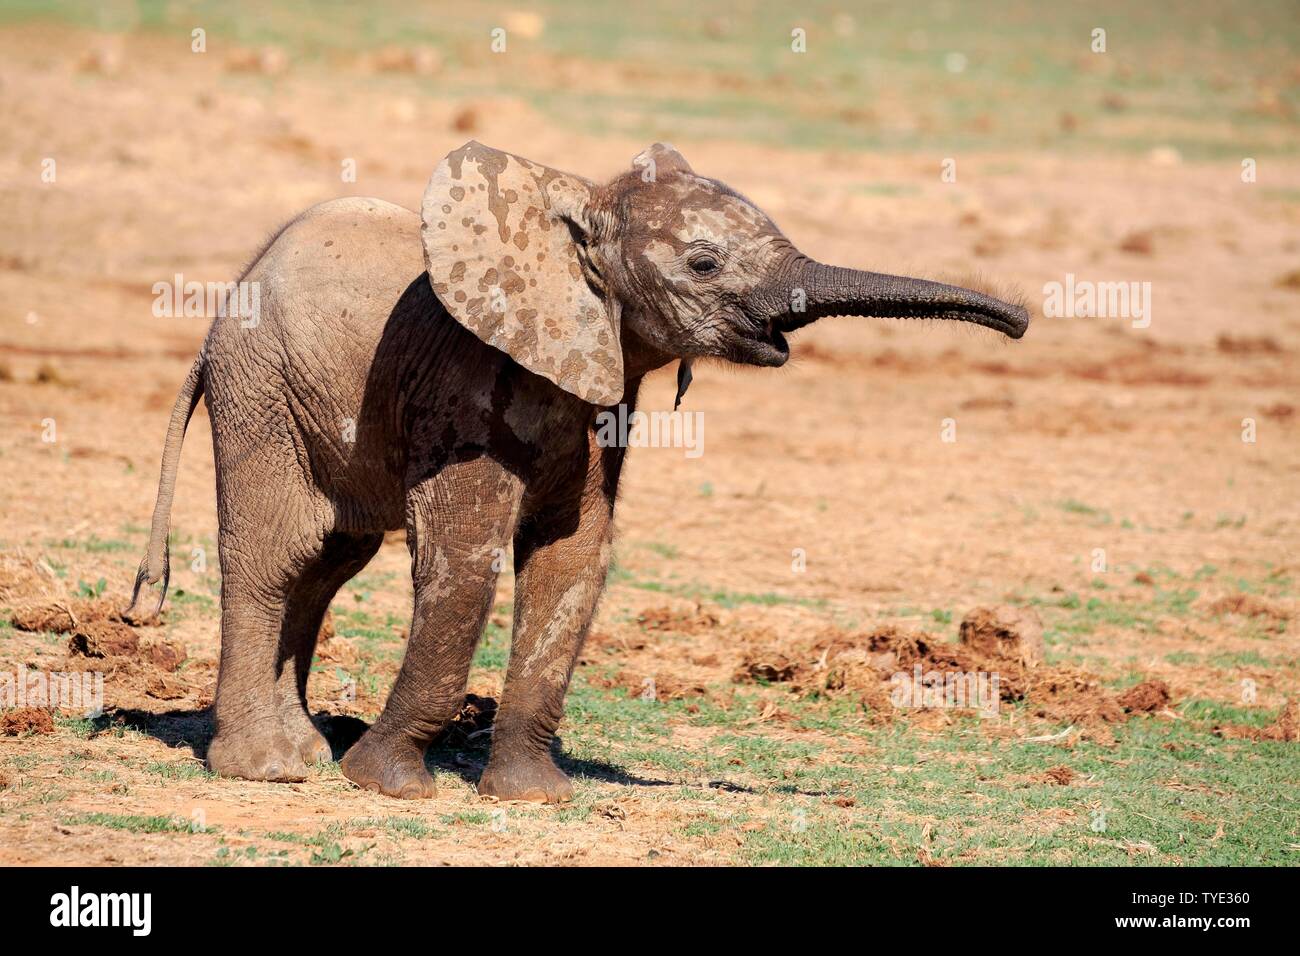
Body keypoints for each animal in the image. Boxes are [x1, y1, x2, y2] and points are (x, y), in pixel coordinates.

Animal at [129, 140, 1024, 801]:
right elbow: (463, 563)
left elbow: (572, 561)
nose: (1019, 319)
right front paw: (387, 785)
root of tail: (227, 299)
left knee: (328, 564)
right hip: (262, 392)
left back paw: (305, 748)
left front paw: (533, 796)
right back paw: (268, 768)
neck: (577, 212)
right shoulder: (465, 381)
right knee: (273, 557)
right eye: (703, 264)